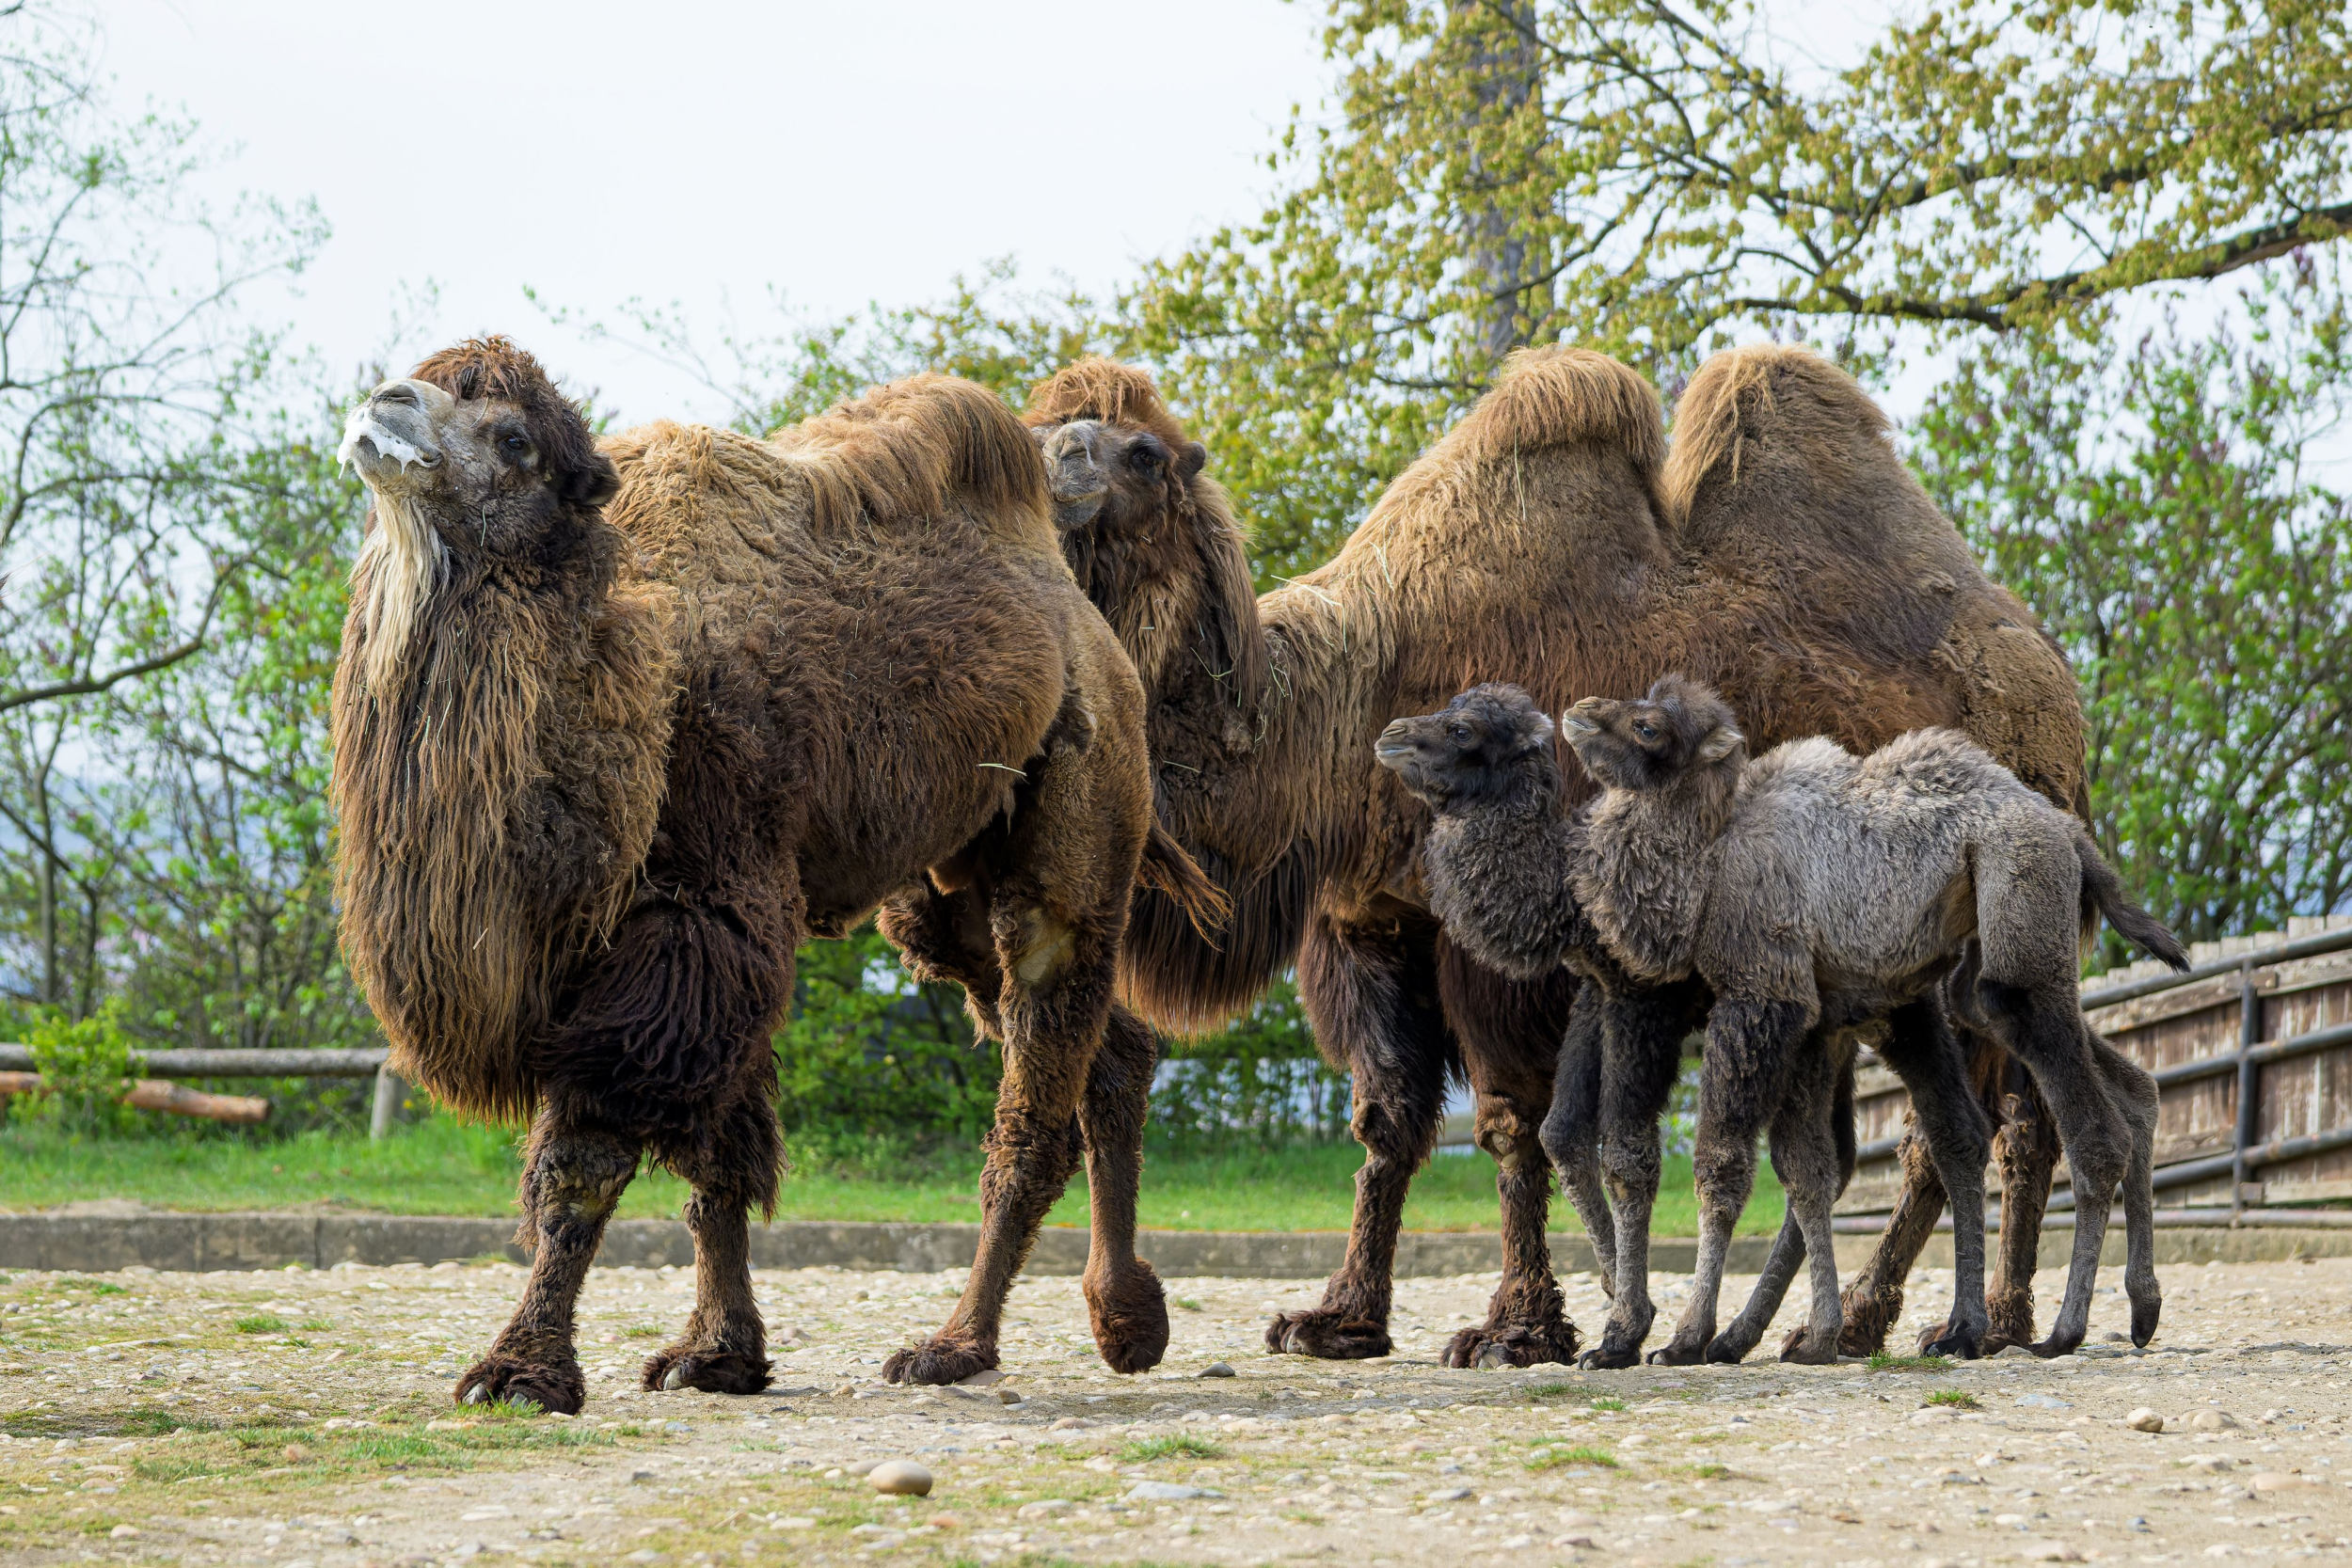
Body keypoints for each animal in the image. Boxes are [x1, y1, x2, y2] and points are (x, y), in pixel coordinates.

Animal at [331, 338, 1221, 1413]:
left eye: (512, 438)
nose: (385, 403)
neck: (631, 675)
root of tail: (1087, 627)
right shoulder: (710, 933)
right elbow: (720, 1157)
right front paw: (718, 1356)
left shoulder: (703, 912)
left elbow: (587, 1162)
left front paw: (521, 1369)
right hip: (941, 888)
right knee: (1106, 1042)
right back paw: (1128, 1320)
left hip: (1077, 807)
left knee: (1035, 1079)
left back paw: (956, 1344)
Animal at [1024, 345, 2089, 1367]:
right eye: (1037, 426)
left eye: (1144, 452)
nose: (1060, 462)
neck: (1342, 709)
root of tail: (2055, 684)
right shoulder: (1373, 924)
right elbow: (1388, 1122)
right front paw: (1337, 1318)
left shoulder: (1504, 953)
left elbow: (1511, 1123)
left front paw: (1517, 1328)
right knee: (1925, 1129)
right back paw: (1874, 1322)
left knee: (1973, 1125)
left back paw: (1940, 1320)